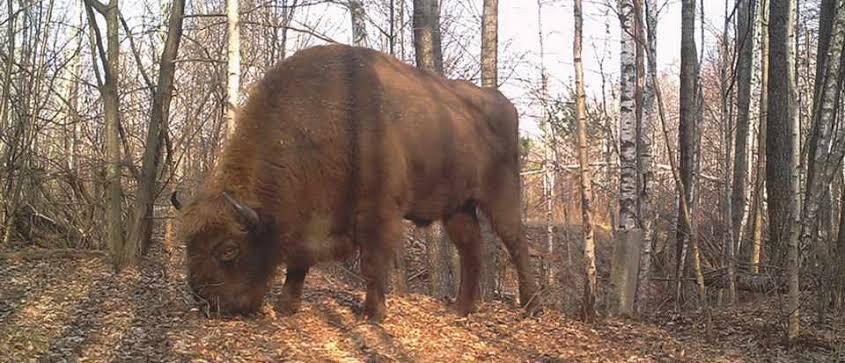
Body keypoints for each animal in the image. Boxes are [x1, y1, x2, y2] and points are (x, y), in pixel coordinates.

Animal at [171, 44, 540, 322]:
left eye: (228, 249)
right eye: (189, 243)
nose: (207, 303)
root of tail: (505, 104)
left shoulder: (378, 212)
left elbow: (372, 263)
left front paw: (373, 314)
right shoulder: (311, 217)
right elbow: (299, 260)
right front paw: (286, 306)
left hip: (501, 195)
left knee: (516, 243)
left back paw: (530, 307)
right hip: (457, 207)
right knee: (471, 248)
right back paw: (460, 309)